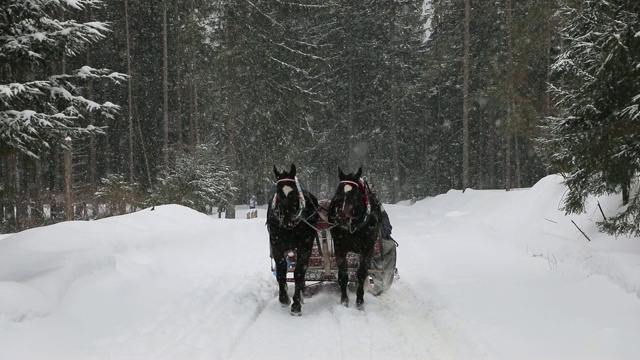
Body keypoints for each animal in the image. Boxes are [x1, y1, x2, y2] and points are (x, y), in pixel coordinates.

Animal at [266, 163, 318, 316]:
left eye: (294, 191)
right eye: (278, 191)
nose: (288, 218)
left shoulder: (304, 248)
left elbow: (299, 273)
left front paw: (296, 304)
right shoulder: (277, 246)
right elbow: (281, 271)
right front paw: (284, 298)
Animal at [328, 166, 382, 310]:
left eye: (355, 194)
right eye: (338, 193)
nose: (341, 218)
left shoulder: (367, 249)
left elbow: (361, 274)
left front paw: (359, 301)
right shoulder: (339, 247)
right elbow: (343, 274)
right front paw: (344, 300)